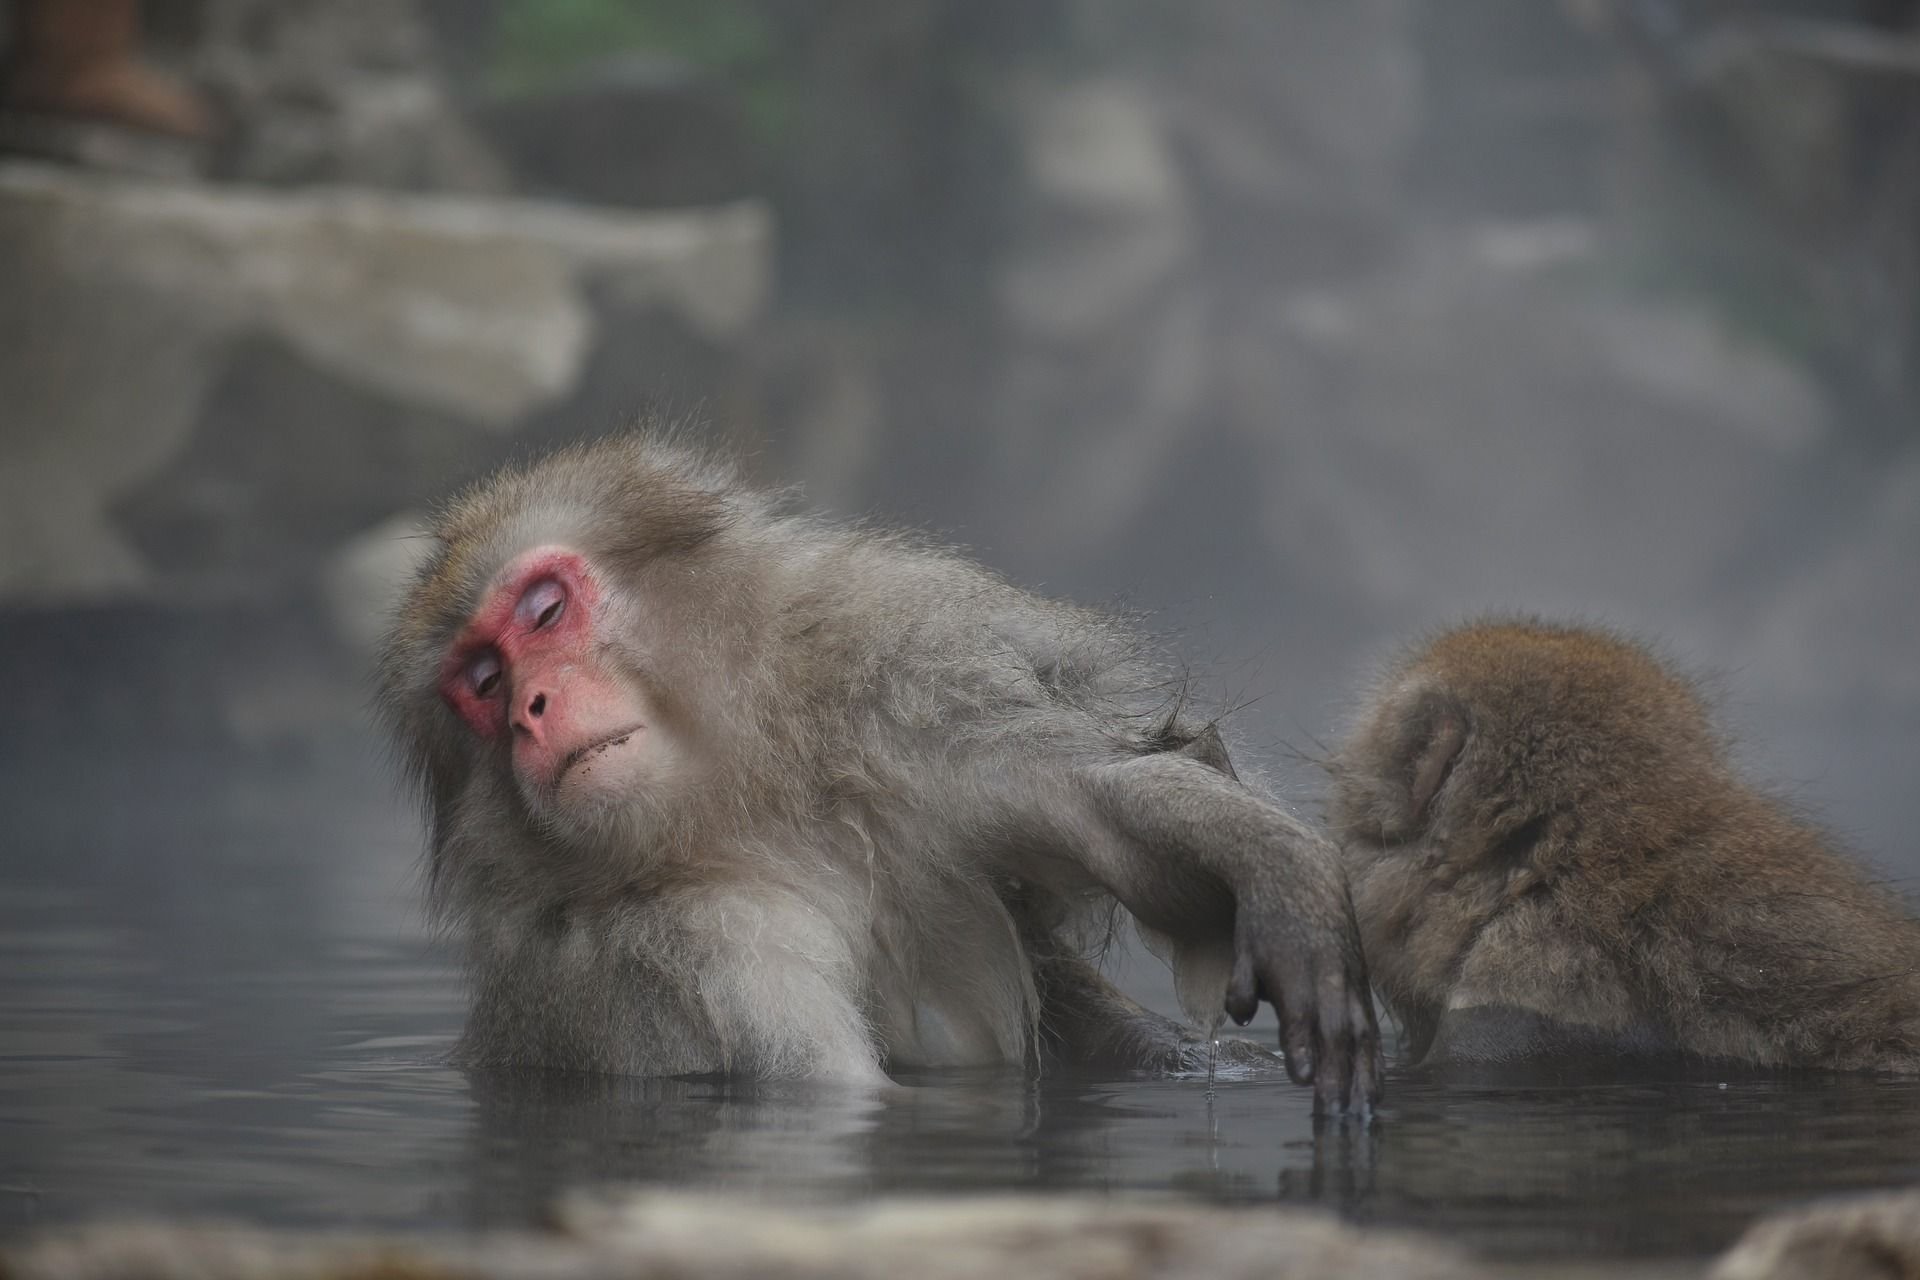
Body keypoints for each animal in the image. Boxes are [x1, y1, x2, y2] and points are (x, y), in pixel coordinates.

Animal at [378, 429, 1382, 1113]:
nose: (531, 711)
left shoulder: (891, 693)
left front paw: (1279, 877)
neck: (737, 802)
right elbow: (826, 1089)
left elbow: (1094, 804)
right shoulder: (662, 952)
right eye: (483, 683)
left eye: (545, 610)